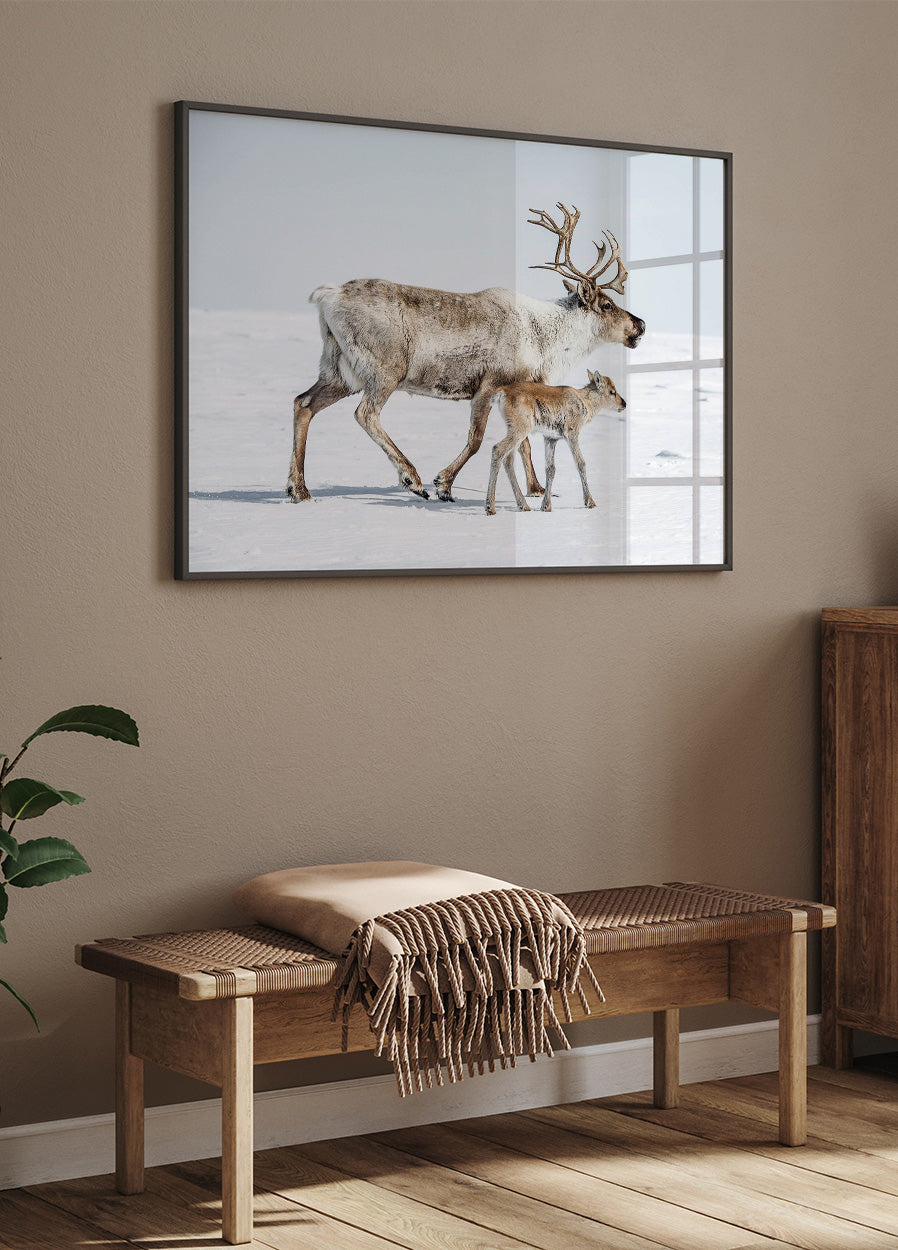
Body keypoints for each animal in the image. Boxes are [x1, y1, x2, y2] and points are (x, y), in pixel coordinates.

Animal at [485, 370, 626, 515]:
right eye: (612, 391)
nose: (624, 404)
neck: (585, 402)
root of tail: (502, 392)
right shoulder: (572, 433)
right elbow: (580, 463)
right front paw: (590, 502)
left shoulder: (550, 438)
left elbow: (550, 469)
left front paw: (546, 506)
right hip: (521, 428)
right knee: (497, 449)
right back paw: (490, 507)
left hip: (514, 430)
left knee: (508, 459)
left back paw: (523, 505)